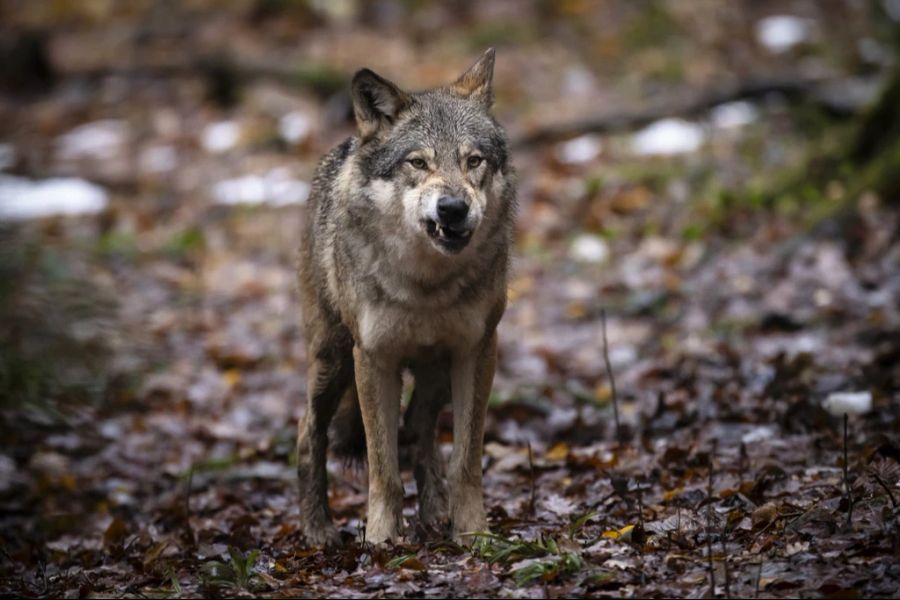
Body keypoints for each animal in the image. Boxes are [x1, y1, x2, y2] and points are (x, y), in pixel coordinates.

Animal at [296, 49, 516, 548]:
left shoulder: (477, 350)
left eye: (474, 160)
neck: (426, 285)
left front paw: (471, 532)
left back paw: (434, 512)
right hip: (333, 359)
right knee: (308, 431)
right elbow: (383, 468)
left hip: (435, 372)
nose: (453, 208)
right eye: (418, 163)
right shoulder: (374, 358)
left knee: (419, 428)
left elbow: (465, 461)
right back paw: (317, 530)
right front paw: (381, 540)